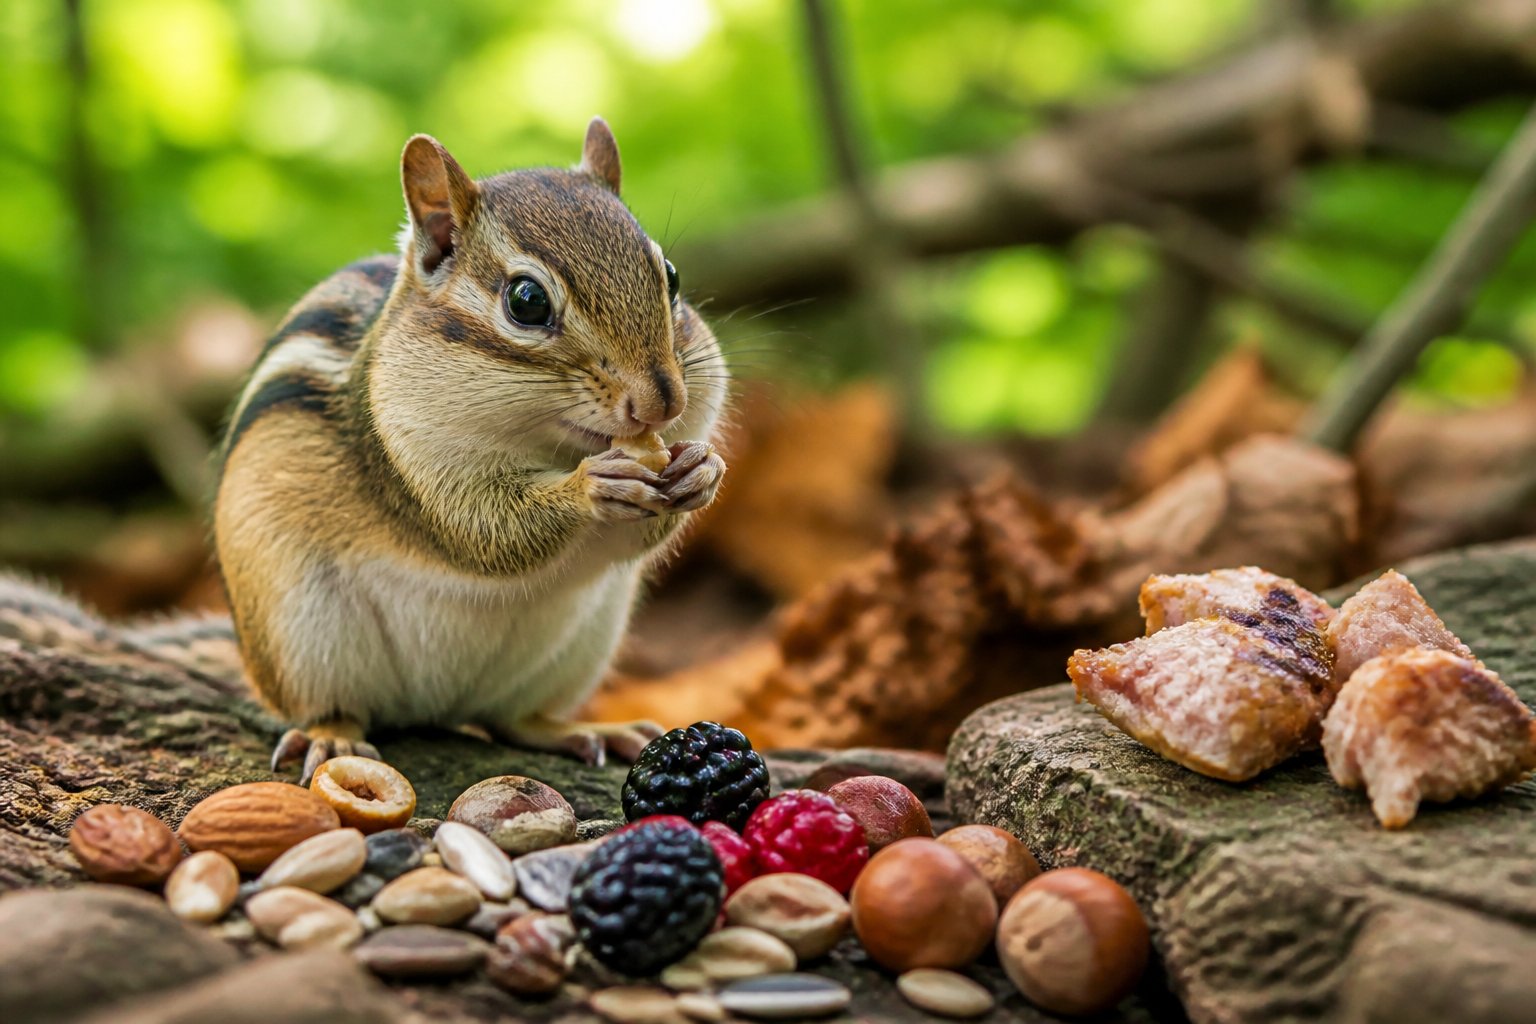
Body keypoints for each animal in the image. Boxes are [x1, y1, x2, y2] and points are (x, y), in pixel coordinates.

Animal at [209, 118, 729, 782]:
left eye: (672, 276)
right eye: (527, 301)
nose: (662, 403)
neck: (548, 443)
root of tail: (436, 706)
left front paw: (703, 469)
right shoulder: (408, 455)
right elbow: (482, 531)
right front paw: (592, 486)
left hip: (576, 649)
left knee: (511, 718)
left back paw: (582, 729)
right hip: (296, 636)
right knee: (332, 707)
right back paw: (332, 735)